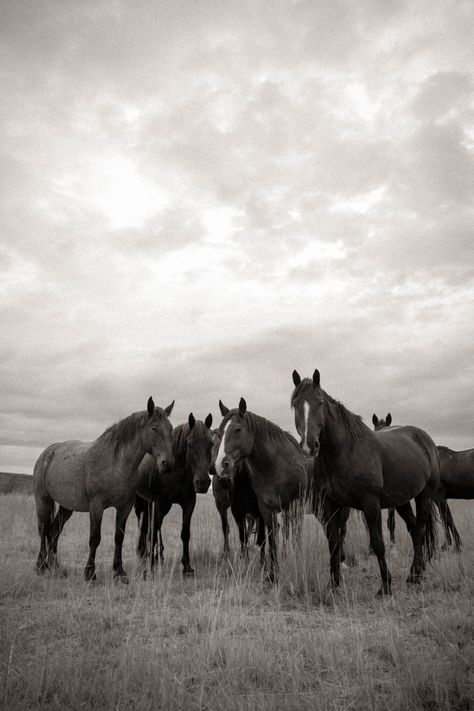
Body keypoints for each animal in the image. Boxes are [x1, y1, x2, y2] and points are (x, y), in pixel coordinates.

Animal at [33, 398, 175, 580]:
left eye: (170, 429)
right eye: (154, 428)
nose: (168, 463)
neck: (116, 464)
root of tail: (46, 453)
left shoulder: (125, 507)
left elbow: (119, 537)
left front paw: (119, 572)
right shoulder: (97, 507)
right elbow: (95, 538)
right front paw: (90, 573)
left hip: (66, 507)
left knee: (54, 530)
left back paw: (56, 567)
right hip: (43, 501)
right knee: (43, 529)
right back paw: (41, 566)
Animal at [134, 414, 214, 576]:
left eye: (211, 444)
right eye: (189, 444)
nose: (203, 482)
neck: (175, 472)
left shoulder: (189, 503)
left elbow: (185, 533)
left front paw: (187, 566)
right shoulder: (159, 502)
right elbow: (153, 531)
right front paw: (151, 568)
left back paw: (156, 554)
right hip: (141, 503)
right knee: (144, 526)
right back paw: (144, 554)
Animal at [215, 398, 308, 580]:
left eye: (237, 429)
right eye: (220, 431)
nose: (220, 465)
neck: (275, 467)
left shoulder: (290, 505)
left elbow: (282, 536)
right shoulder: (264, 509)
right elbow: (269, 538)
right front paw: (272, 573)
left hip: (295, 508)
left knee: (295, 531)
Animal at [292, 370, 440, 596]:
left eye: (320, 403)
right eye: (295, 404)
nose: (310, 446)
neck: (345, 452)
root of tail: (424, 439)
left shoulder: (370, 504)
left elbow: (377, 543)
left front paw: (385, 586)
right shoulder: (330, 505)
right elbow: (334, 543)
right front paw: (333, 585)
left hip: (425, 495)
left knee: (421, 529)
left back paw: (414, 575)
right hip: (402, 502)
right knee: (415, 530)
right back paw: (416, 573)